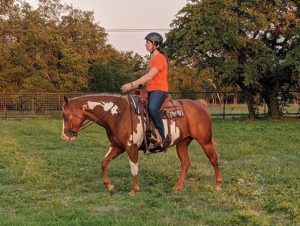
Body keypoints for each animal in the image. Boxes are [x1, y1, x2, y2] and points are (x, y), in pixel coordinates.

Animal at [61, 93, 221, 196]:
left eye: (65, 115)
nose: (64, 136)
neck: (118, 115)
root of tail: (200, 104)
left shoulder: (131, 148)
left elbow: (134, 168)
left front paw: (134, 190)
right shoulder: (117, 147)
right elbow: (104, 162)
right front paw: (110, 187)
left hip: (205, 141)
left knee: (213, 159)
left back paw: (218, 185)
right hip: (182, 143)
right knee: (185, 164)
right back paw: (177, 187)